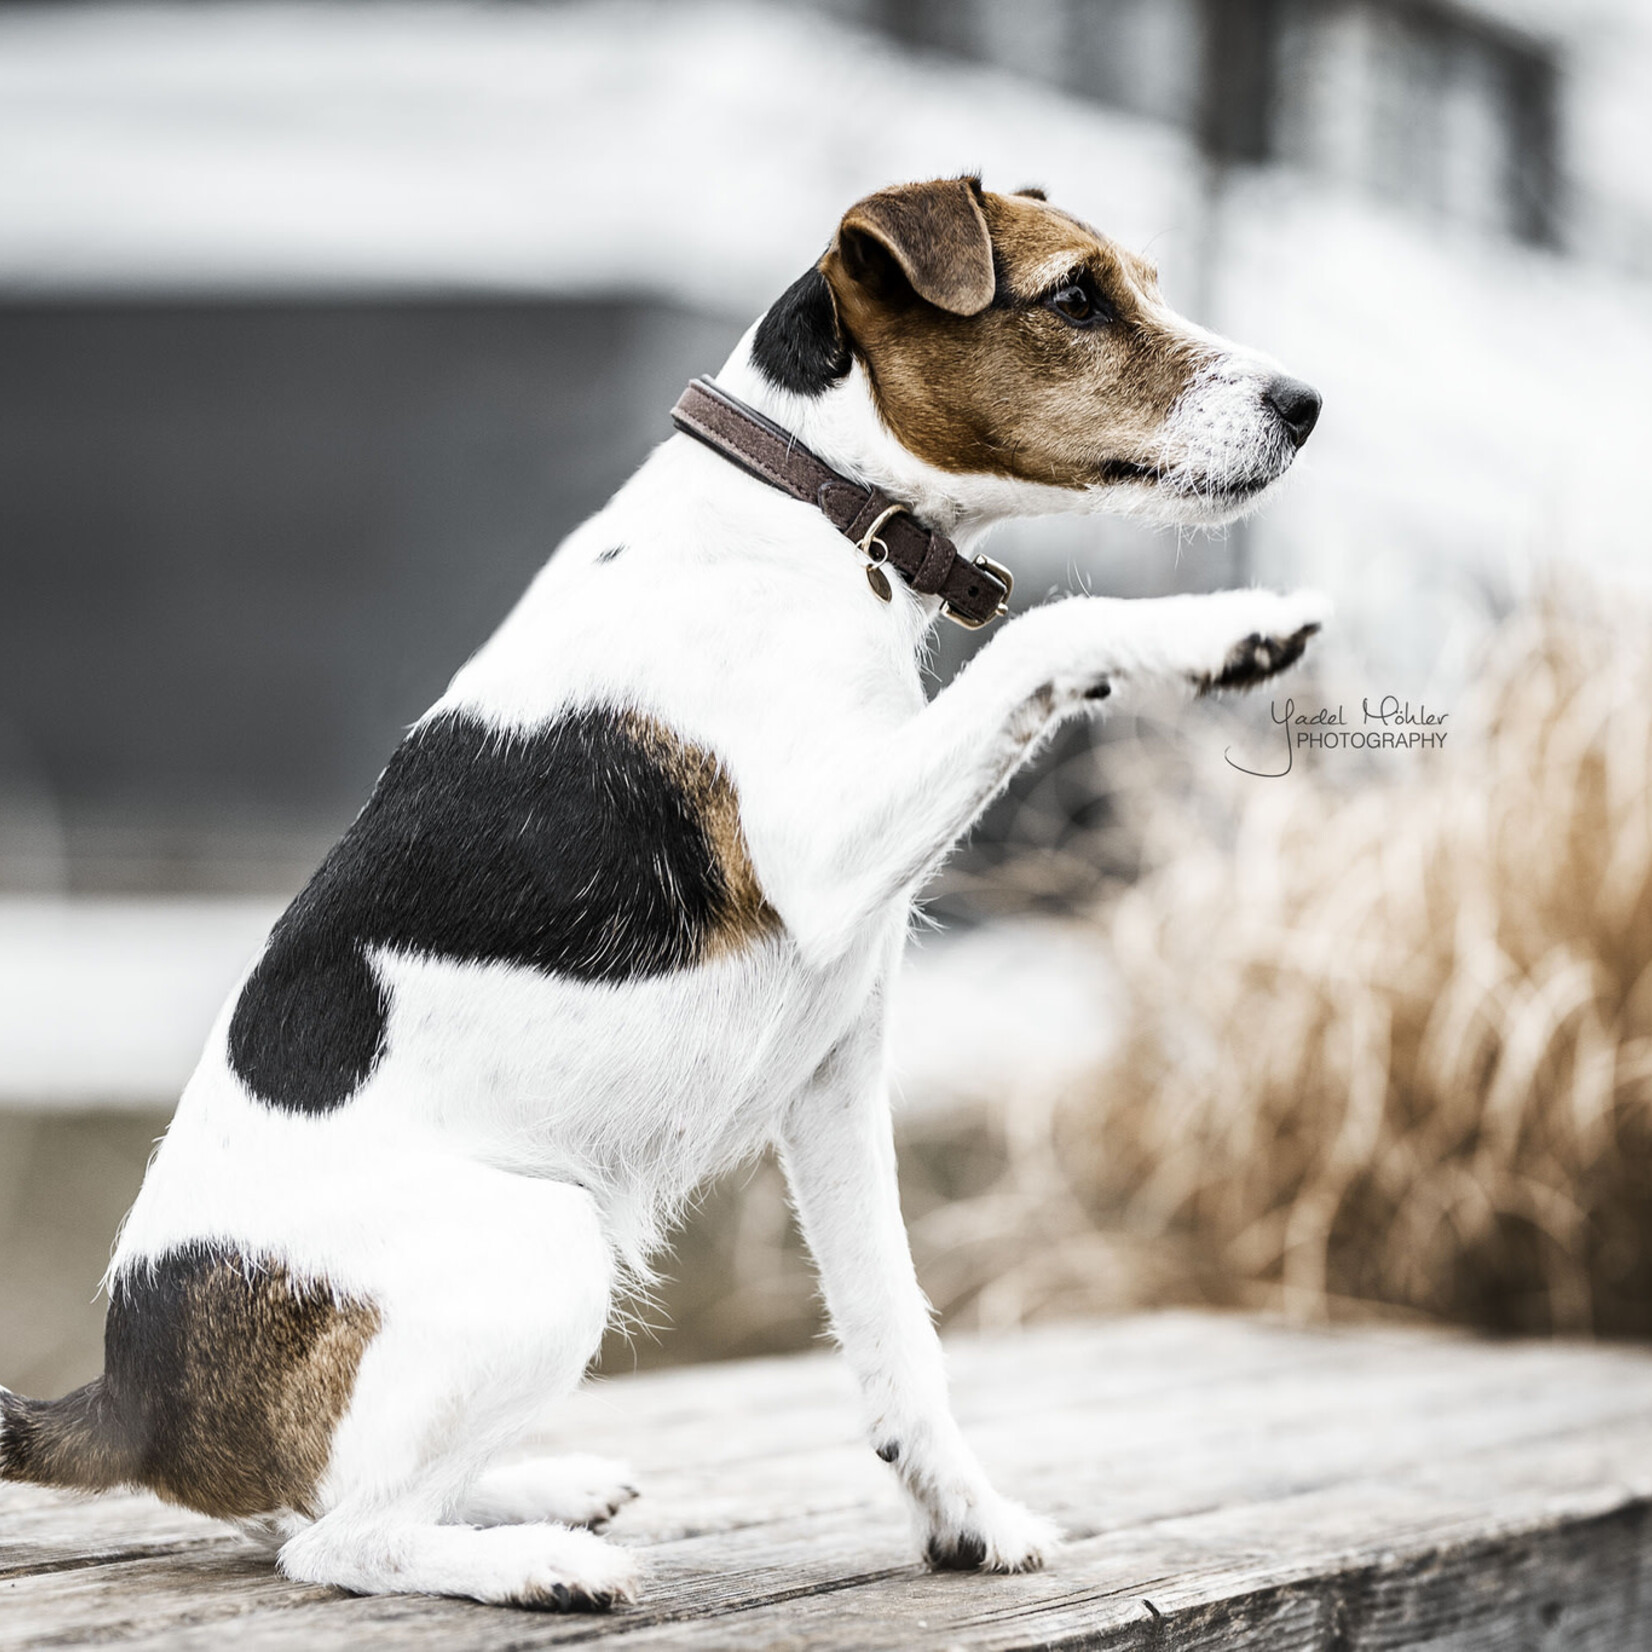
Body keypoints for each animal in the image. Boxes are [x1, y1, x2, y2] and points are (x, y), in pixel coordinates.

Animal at [0, 174, 1314, 1605]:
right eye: (1075, 296)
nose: (1304, 402)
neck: (805, 512)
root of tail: (126, 1400)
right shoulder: (829, 851)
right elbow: (1051, 631)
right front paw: (1220, 628)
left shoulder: (836, 1077)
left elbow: (894, 1326)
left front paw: (963, 1515)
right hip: (546, 1243)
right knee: (339, 1539)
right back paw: (533, 1558)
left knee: (312, 1503)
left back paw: (536, 1489)